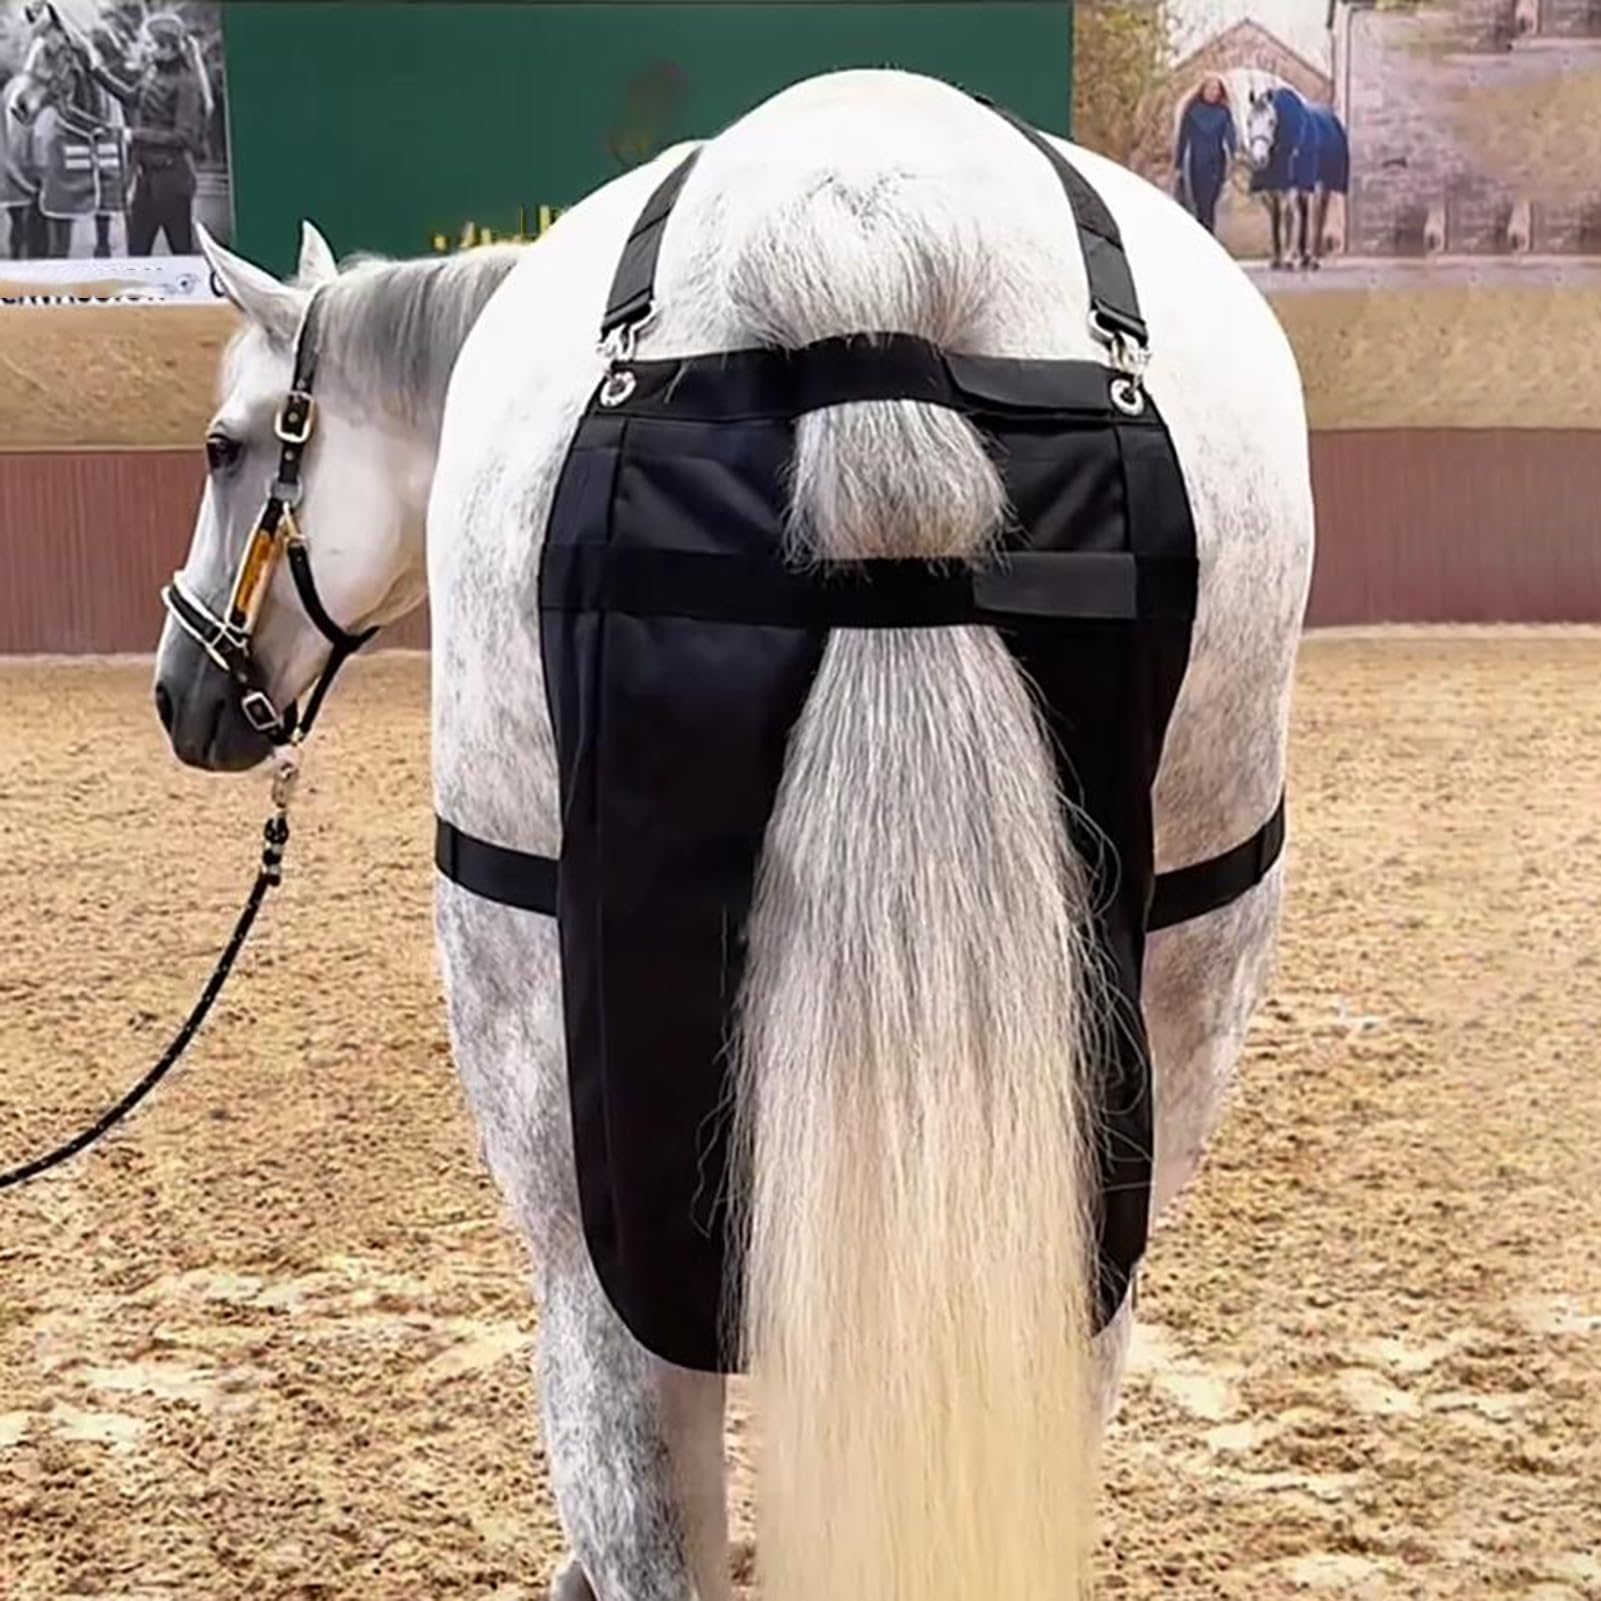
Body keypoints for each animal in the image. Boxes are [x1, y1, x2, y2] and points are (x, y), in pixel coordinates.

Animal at [1240, 77, 1350, 271]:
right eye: (1249, 122)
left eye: (1271, 121)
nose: (1260, 159)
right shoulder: (1276, 185)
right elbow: (1277, 216)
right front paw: (1277, 259)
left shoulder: (1292, 182)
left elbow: (1289, 215)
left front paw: (1289, 259)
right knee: (1304, 210)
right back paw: (1304, 256)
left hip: (1323, 183)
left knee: (1319, 213)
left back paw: (1313, 259)